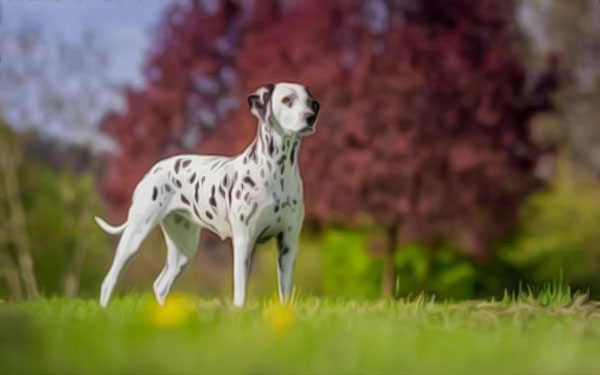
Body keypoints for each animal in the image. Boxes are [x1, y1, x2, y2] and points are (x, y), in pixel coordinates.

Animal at [95, 82, 318, 308]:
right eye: (287, 100)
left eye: (310, 102)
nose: (311, 117)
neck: (278, 171)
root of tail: (154, 169)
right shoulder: (243, 241)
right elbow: (240, 294)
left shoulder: (288, 243)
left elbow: (285, 293)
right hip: (135, 236)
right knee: (108, 281)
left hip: (184, 250)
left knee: (160, 285)